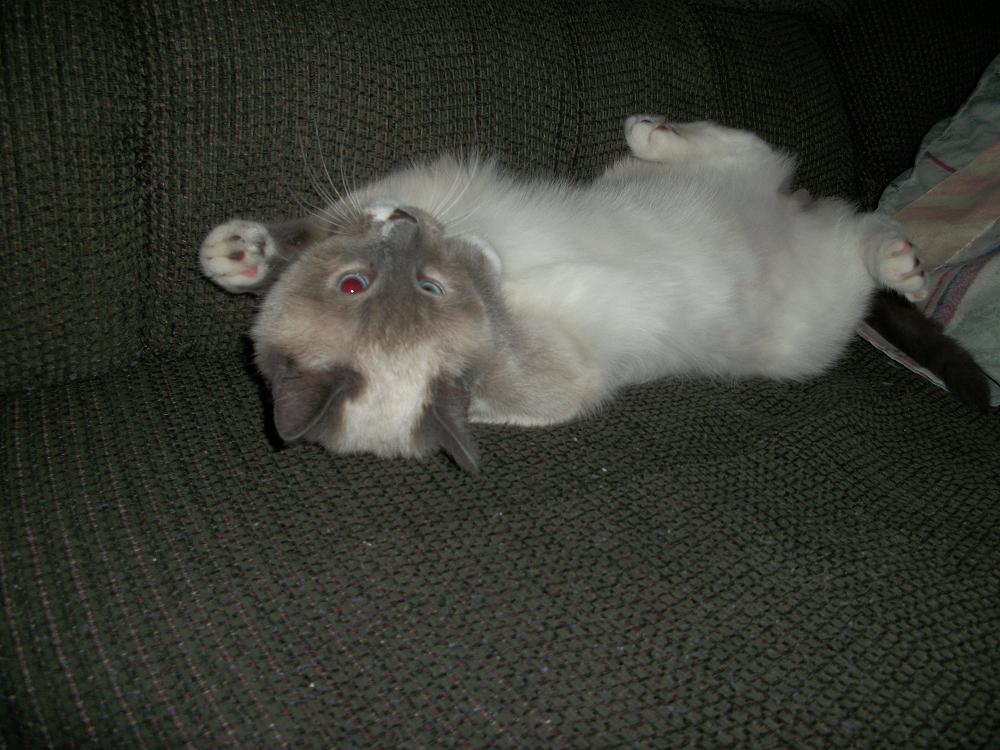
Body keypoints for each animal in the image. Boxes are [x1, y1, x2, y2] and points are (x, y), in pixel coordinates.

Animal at [200, 115, 979, 473]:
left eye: (354, 281)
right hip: (809, 333)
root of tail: (800, 218)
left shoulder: (416, 185)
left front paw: (238, 253)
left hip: (659, 182)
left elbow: (318, 223)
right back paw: (904, 263)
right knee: (861, 238)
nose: (413, 226)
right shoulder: (558, 374)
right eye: (424, 284)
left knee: (750, 152)